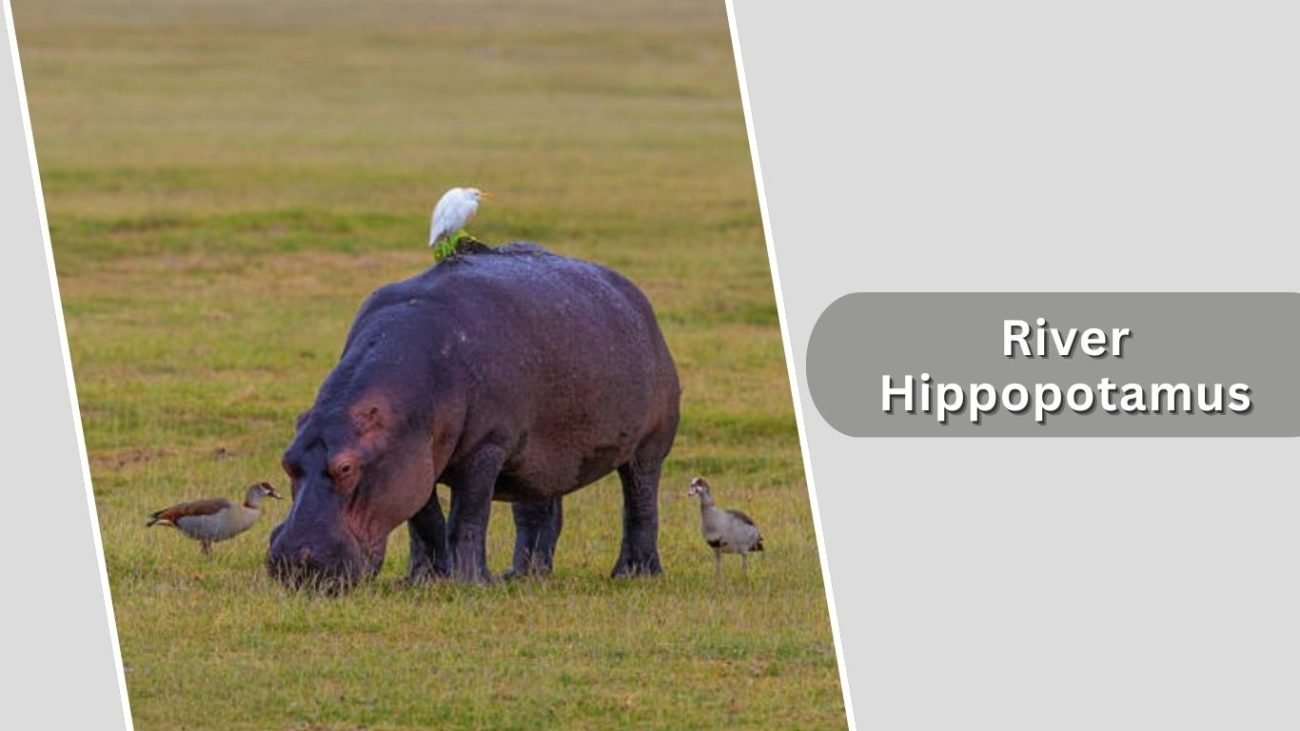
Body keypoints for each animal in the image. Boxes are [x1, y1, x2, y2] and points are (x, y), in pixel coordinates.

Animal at [268, 243, 681, 588]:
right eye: (287, 461)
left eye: (346, 467)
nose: (292, 561)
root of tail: (634, 297)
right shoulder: (413, 459)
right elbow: (424, 520)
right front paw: (424, 580)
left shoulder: (487, 446)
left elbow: (468, 515)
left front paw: (471, 583)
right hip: (539, 457)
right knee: (536, 510)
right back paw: (522, 575)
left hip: (648, 445)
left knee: (640, 502)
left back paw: (634, 575)